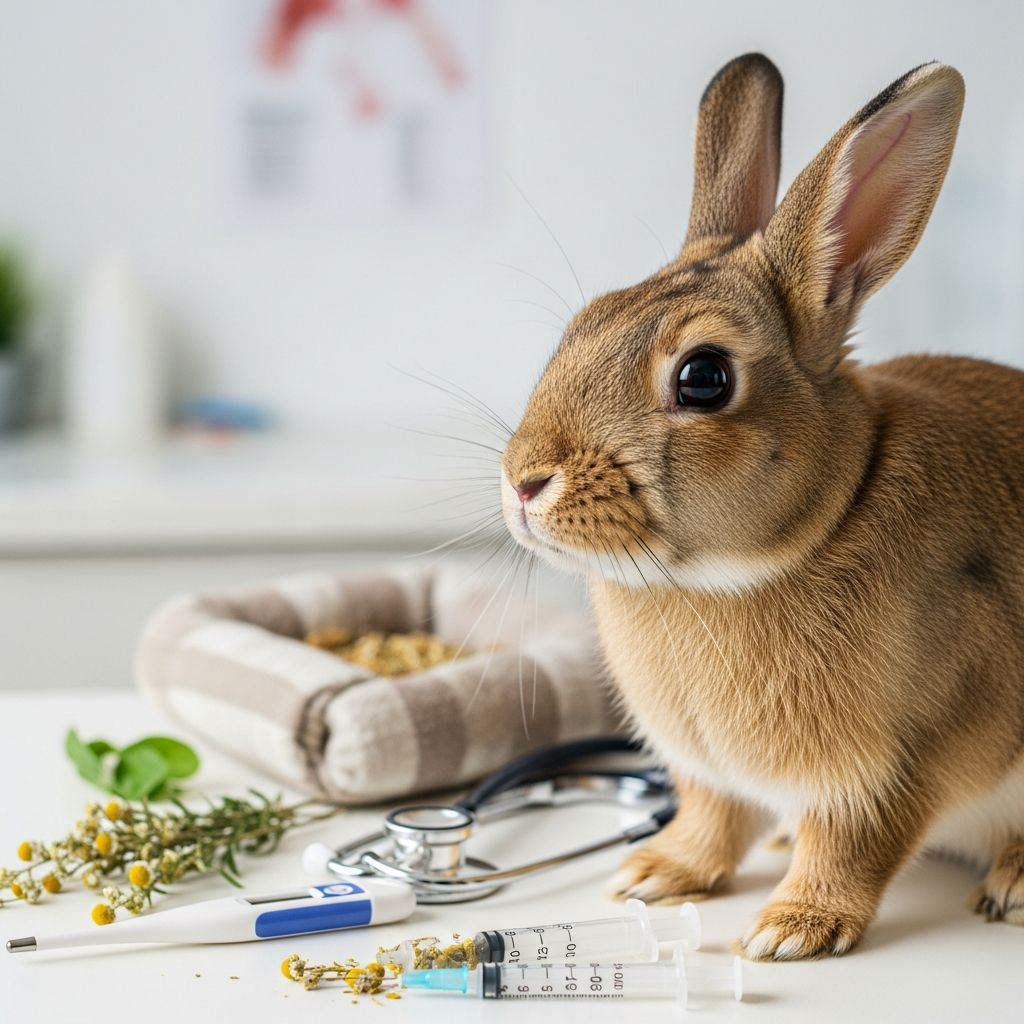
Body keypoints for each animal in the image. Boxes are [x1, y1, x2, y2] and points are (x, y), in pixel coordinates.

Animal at [498, 52, 1024, 960]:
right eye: (584, 323)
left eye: (704, 377)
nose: (525, 481)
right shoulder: (709, 772)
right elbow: (712, 819)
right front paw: (654, 876)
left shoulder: (901, 763)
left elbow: (855, 841)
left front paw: (791, 929)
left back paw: (1013, 883)